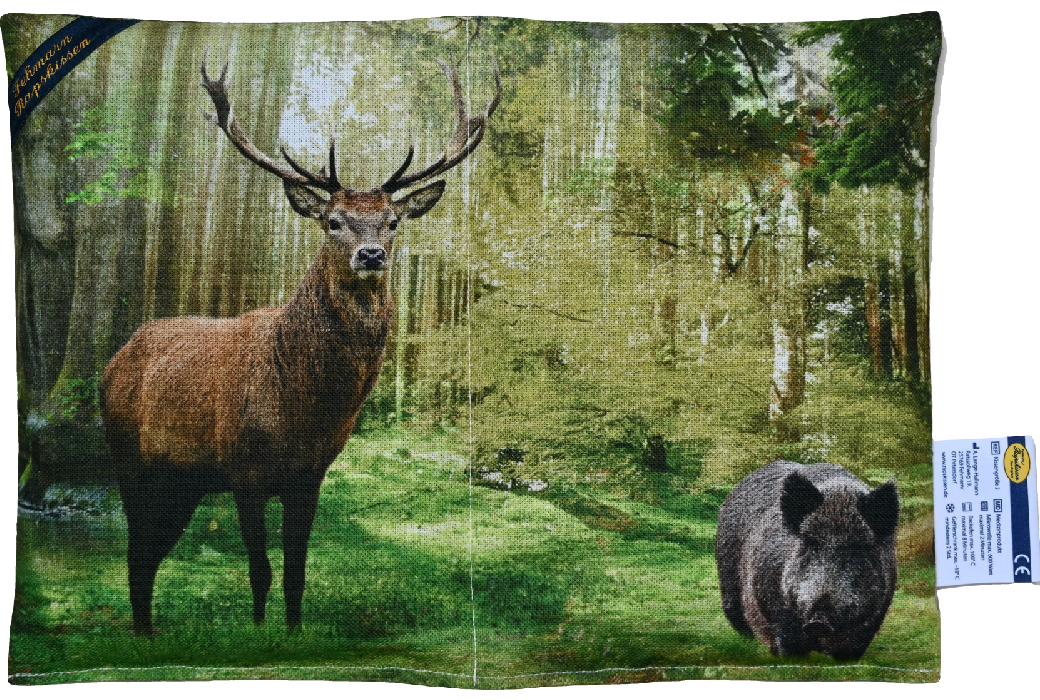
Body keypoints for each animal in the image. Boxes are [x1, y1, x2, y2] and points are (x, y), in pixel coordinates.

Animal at [100, 54, 500, 634]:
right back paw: (142, 634)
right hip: (128, 458)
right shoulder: (243, 469)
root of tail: (116, 357)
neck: (302, 407)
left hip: (184, 481)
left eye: (393, 220)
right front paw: (260, 634)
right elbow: (260, 570)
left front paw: (292, 633)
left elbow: (296, 571)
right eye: (333, 221)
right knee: (136, 551)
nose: (372, 254)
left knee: (152, 552)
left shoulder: (310, 476)